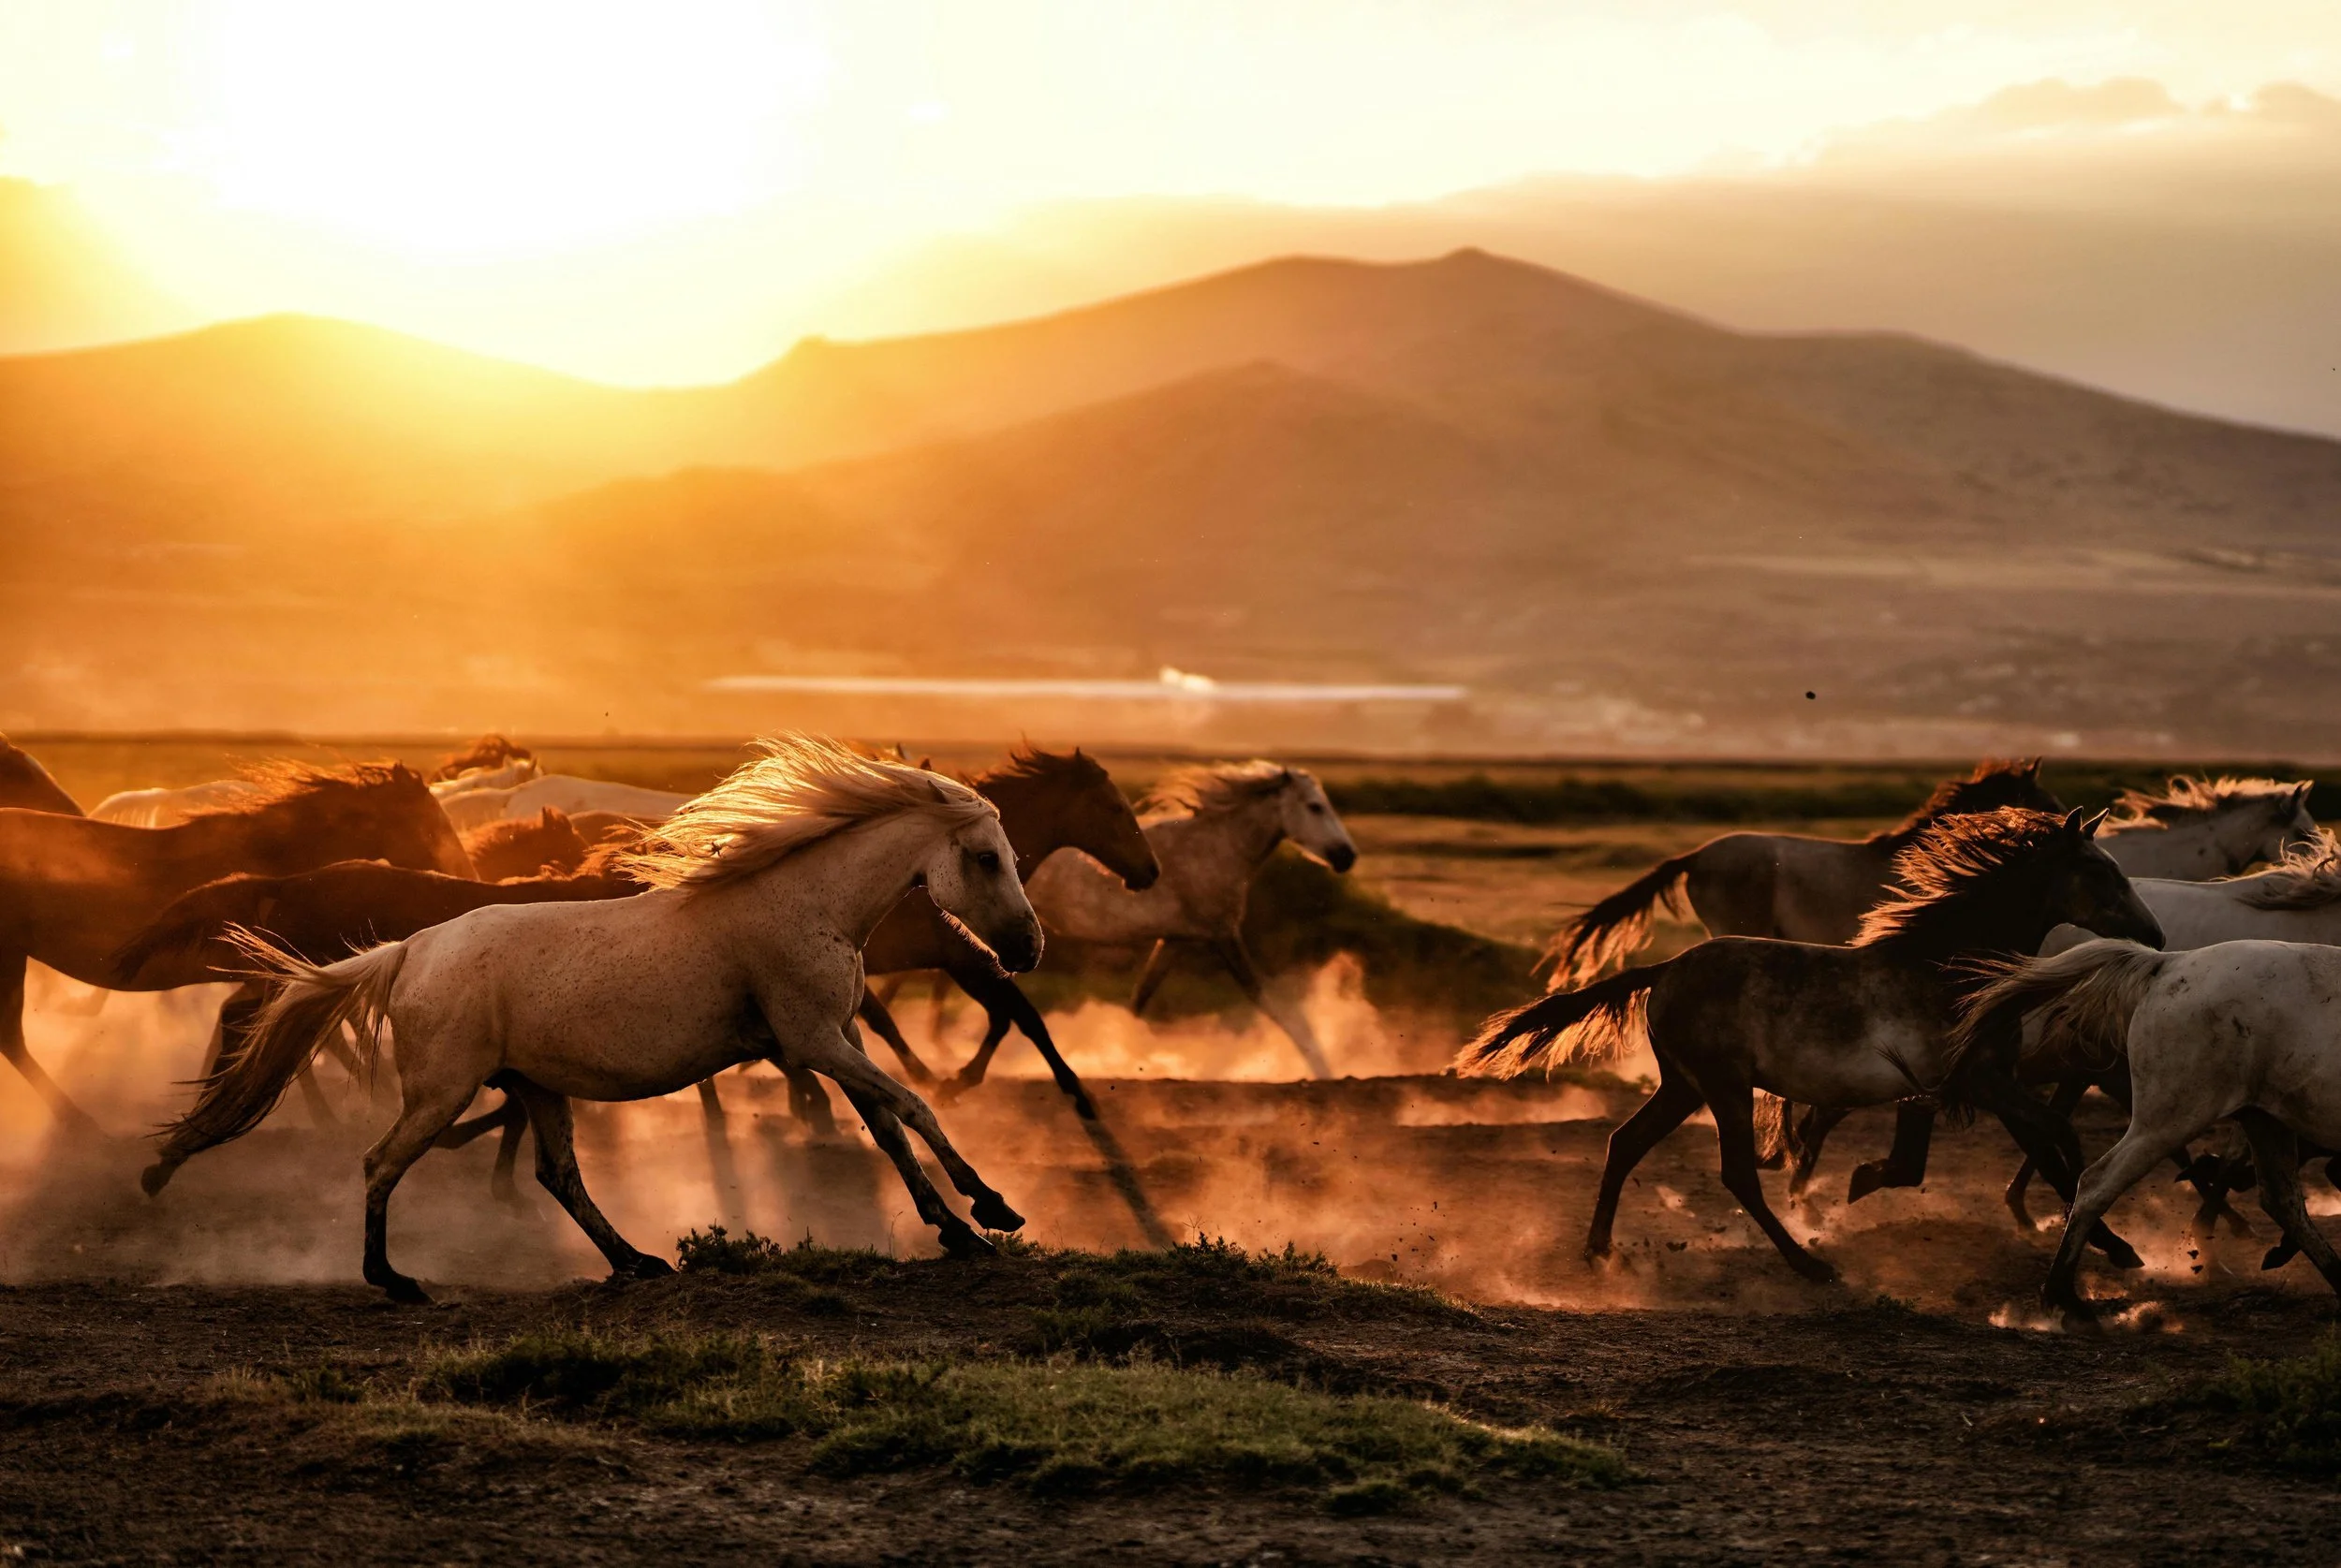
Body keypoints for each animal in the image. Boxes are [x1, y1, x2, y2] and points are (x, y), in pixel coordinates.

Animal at [0, 762, 476, 1129]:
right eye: (431, 822)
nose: (468, 873)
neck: (277, 875)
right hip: (10, 958)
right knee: (12, 1038)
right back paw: (79, 1124)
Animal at [1024, 761, 1358, 1079]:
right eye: (1315, 806)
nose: (1347, 856)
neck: (1216, 848)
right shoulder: (1224, 934)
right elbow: (1276, 1005)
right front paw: (1325, 1072)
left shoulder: (1177, 940)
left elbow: (1138, 1002)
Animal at [1458, 807, 2164, 1285]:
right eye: (2098, 870)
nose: (2154, 934)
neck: (1946, 967)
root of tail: (1664, 970)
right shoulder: (1983, 1081)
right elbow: (2059, 1142)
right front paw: (2112, 1244)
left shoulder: (1990, 1080)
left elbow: (2045, 1150)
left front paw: (2115, 1245)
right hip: (1723, 1086)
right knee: (1736, 1171)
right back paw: (1809, 1265)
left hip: (1684, 1085)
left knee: (1625, 1143)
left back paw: (1599, 1251)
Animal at [1952, 938, 2341, 1319]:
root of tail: (2168, 964)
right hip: (2169, 1119)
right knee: (2096, 1183)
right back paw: (2066, 1297)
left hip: (2262, 1120)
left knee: (2283, 1201)